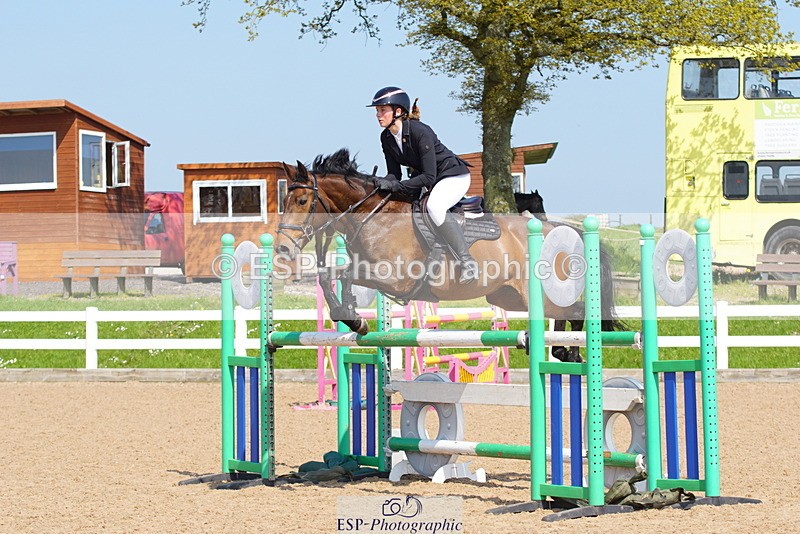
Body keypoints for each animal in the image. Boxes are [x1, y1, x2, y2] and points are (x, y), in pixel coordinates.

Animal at [275, 149, 623, 362]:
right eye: (285, 200)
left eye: (303, 201)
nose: (282, 248)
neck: (373, 215)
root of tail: (558, 229)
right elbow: (329, 276)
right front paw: (349, 314)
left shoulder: (397, 280)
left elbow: (345, 275)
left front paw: (353, 319)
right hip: (508, 297)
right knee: (564, 312)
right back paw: (564, 350)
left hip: (532, 294)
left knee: (575, 310)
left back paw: (570, 353)